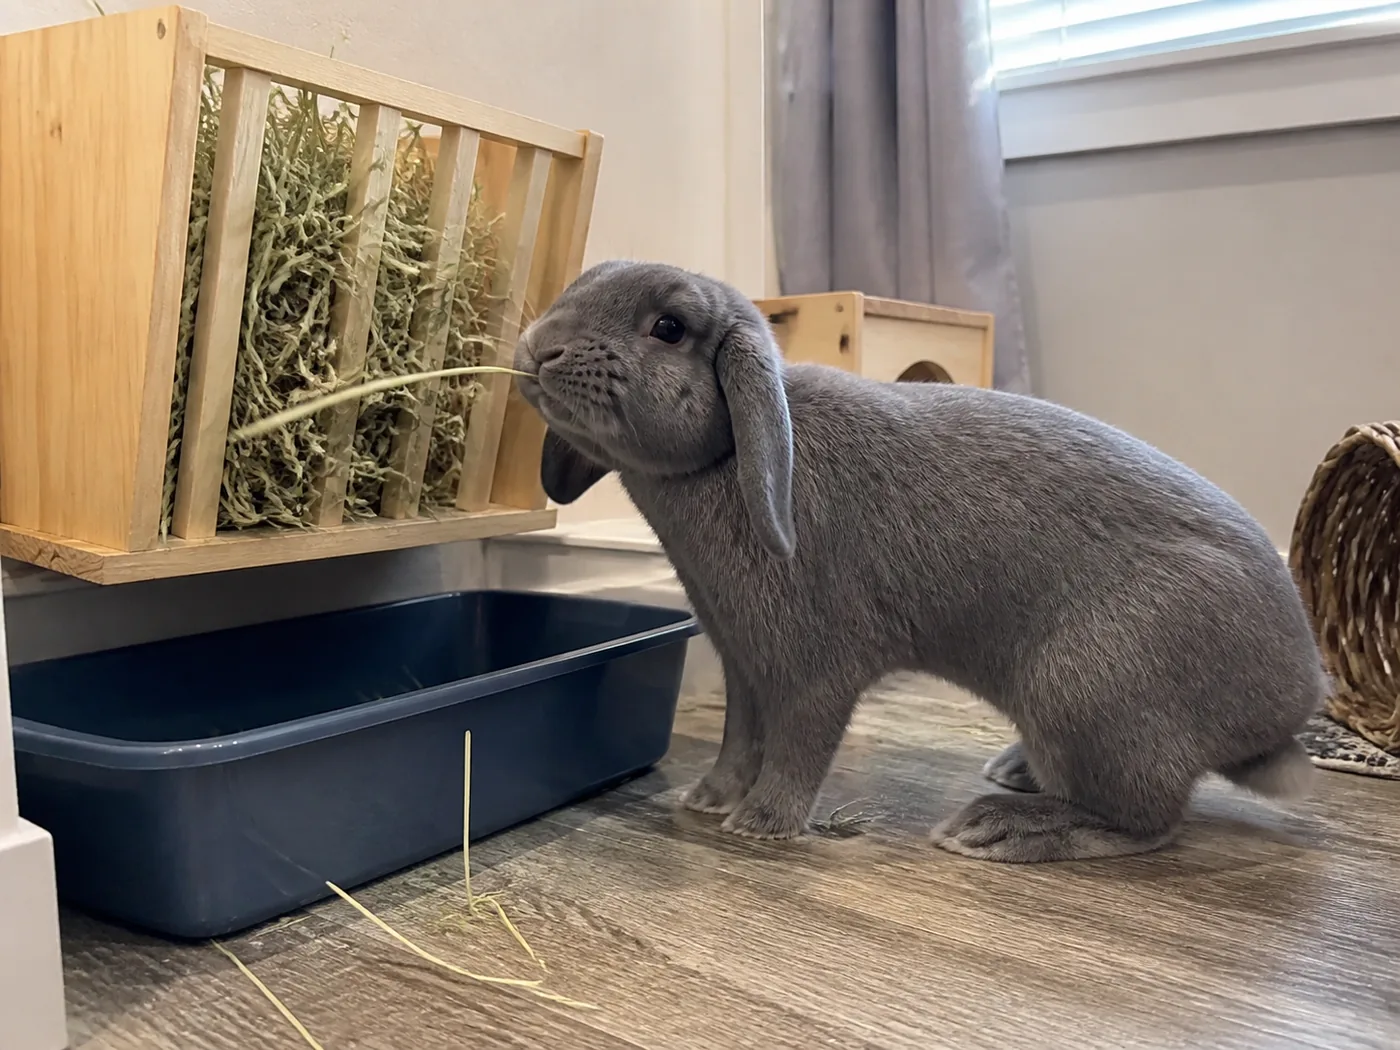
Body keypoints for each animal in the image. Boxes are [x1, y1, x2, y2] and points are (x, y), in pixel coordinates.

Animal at [512, 258, 1327, 862]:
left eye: (669, 328)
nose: (538, 347)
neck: (724, 460)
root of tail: (1287, 710)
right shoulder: (744, 664)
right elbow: (740, 739)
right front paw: (708, 800)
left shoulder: (814, 670)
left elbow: (800, 745)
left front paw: (762, 825)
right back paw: (1015, 774)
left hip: (1086, 690)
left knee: (1149, 820)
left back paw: (995, 825)